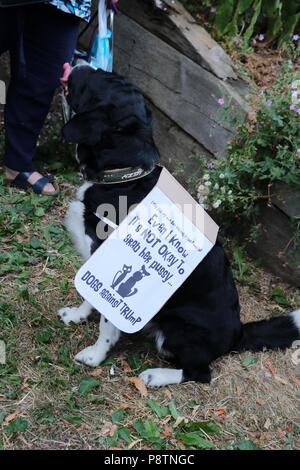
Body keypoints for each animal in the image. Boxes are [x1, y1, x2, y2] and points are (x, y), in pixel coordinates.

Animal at [57, 63, 298, 386]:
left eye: (98, 78)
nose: (80, 63)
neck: (123, 176)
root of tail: (237, 334)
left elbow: (107, 321)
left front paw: (95, 356)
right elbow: (90, 296)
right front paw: (77, 315)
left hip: (178, 327)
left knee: (200, 373)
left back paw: (156, 376)